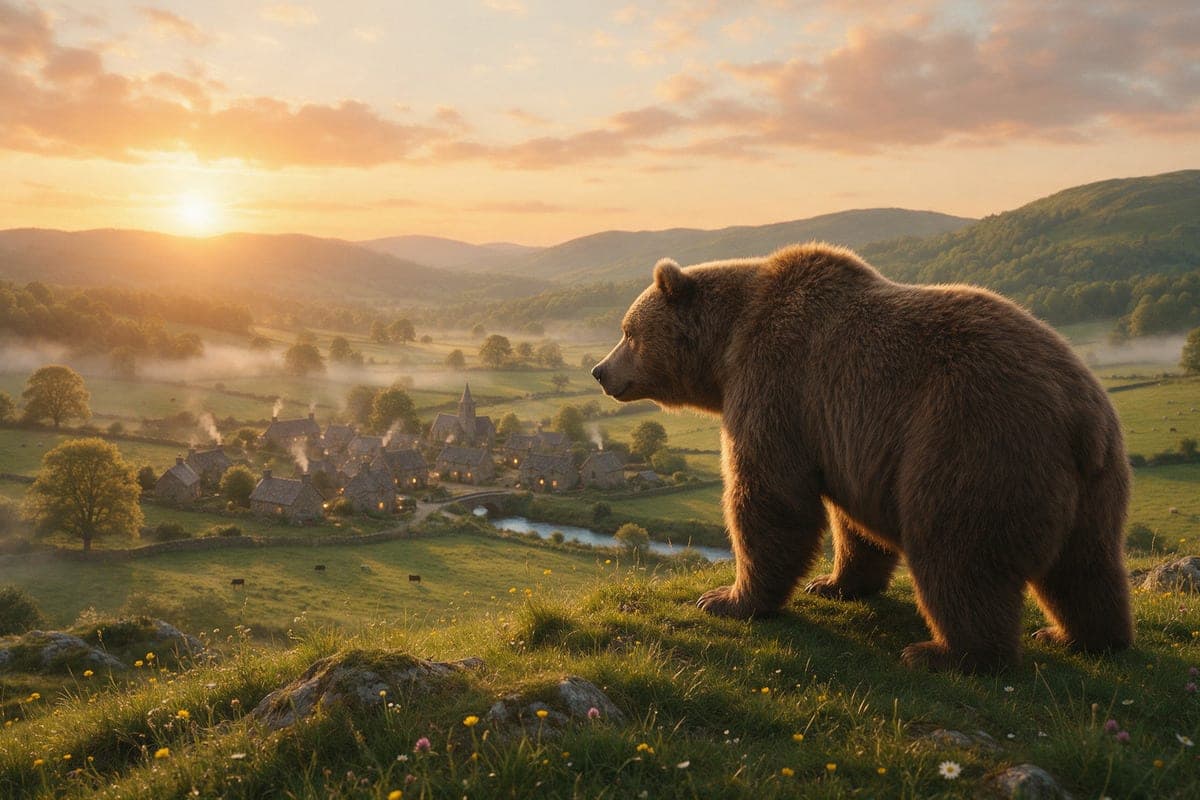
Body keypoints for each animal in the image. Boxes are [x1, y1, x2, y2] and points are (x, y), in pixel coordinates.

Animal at [591, 243, 1133, 672]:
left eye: (628, 331)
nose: (600, 370)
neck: (725, 349)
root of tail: (1077, 415)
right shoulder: (848, 439)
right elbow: (851, 522)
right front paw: (832, 583)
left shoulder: (777, 383)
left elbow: (770, 495)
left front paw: (726, 599)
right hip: (1096, 481)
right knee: (1087, 566)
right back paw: (1080, 636)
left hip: (973, 443)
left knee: (958, 552)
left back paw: (946, 653)